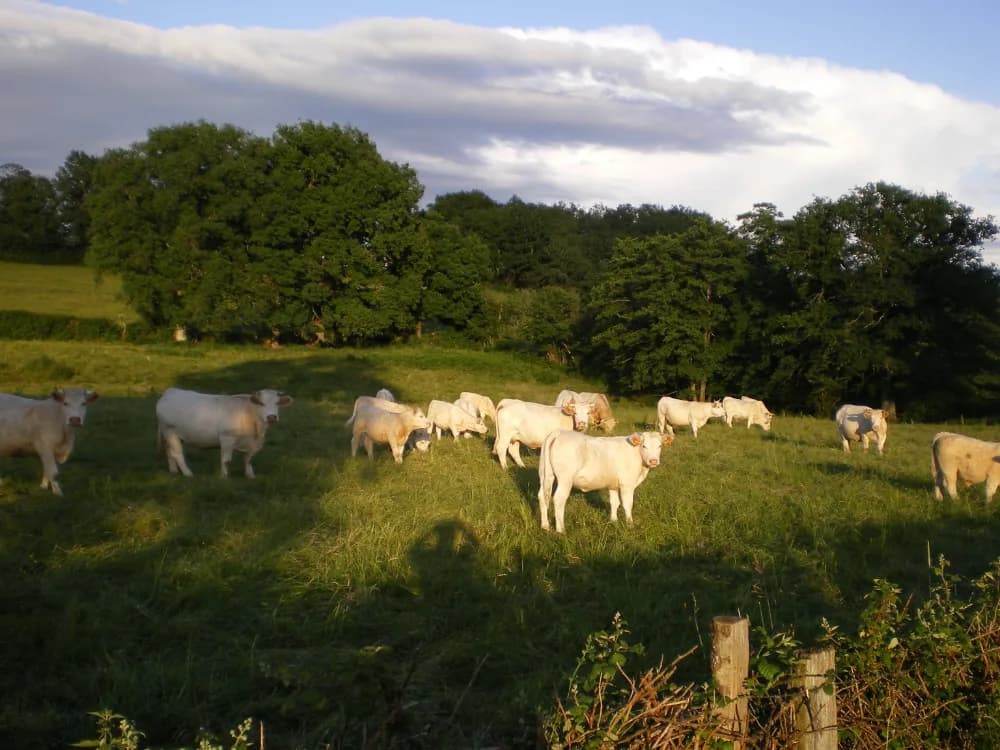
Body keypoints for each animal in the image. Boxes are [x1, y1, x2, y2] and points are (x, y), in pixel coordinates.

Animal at [155, 387, 292, 478]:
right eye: (261, 403)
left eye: (277, 403)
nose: (271, 417)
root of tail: (171, 391)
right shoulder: (227, 438)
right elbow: (226, 460)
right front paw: (225, 477)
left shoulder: (253, 443)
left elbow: (248, 459)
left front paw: (250, 475)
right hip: (170, 432)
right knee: (177, 454)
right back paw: (188, 473)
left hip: (169, 435)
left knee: (169, 452)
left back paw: (173, 471)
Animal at [537, 430, 672, 533]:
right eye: (644, 446)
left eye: (660, 446)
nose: (653, 461)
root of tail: (559, 432)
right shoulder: (627, 484)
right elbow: (627, 504)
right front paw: (630, 525)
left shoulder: (613, 485)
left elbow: (614, 502)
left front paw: (614, 521)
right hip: (565, 479)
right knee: (559, 499)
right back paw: (561, 530)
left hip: (545, 475)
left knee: (542, 496)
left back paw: (545, 526)